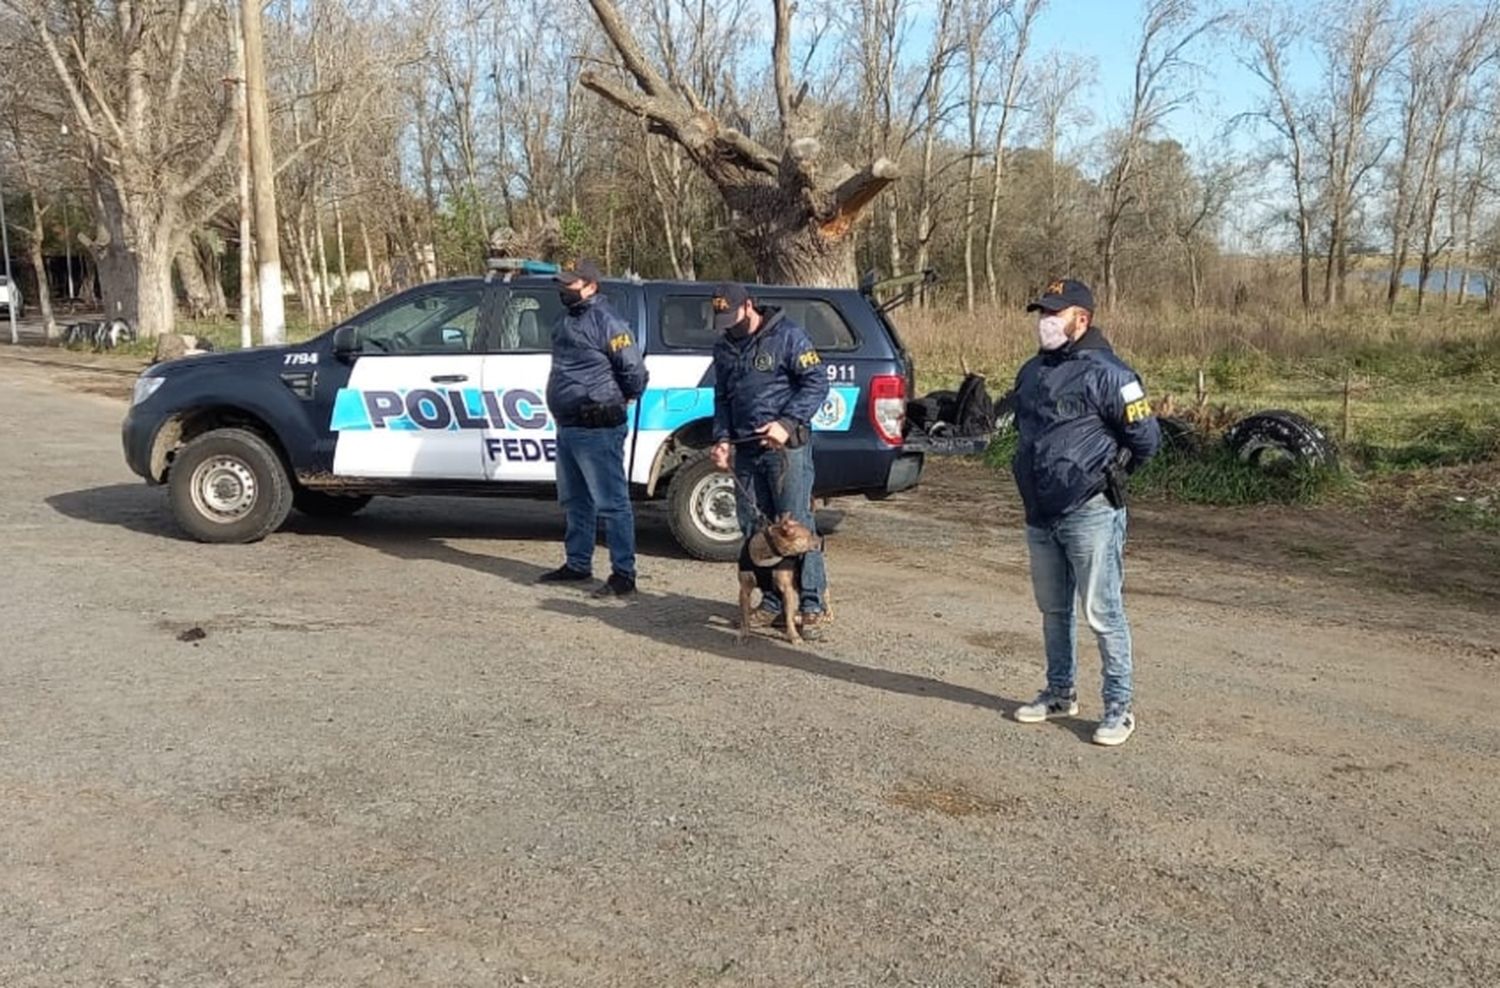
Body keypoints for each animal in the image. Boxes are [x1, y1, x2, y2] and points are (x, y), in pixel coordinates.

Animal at [738, 512, 822, 644]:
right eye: (810, 535)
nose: (821, 540)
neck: (770, 551)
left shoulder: (787, 590)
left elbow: (789, 618)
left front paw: (794, 636)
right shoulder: (744, 590)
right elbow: (744, 616)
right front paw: (744, 634)